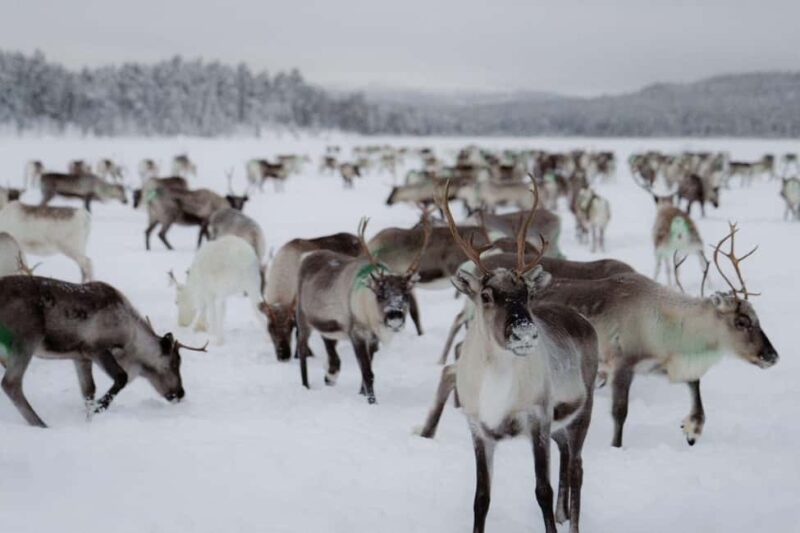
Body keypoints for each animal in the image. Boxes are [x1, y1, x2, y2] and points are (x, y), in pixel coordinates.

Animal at [0, 275, 205, 427]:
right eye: (174, 363)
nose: (180, 393)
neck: (132, 337)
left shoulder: (80, 356)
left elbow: (88, 390)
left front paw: (89, 417)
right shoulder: (96, 348)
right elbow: (121, 377)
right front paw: (99, 407)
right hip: (26, 339)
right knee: (11, 383)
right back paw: (41, 424)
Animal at [262, 232, 362, 361]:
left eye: (289, 327)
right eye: (270, 328)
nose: (283, 355)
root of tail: (357, 239)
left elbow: (299, 333)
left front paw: (301, 354)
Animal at [294, 217, 430, 404]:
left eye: (406, 295)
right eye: (380, 294)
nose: (394, 315)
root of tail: (307, 257)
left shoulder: (372, 338)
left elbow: (368, 370)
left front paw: (361, 394)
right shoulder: (356, 333)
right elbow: (367, 373)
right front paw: (372, 402)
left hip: (327, 326)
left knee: (329, 345)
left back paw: (329, 377)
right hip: (303, 319)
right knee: (301, 351)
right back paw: (305, 386)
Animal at [420, 179, 599, 533]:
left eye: (527, 293)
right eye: (486, 295)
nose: (525, 333)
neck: (497, 388)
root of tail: (583, 321)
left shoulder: (538, 419)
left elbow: (541, 490)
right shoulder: (478, 429)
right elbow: (481, 499)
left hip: (582, 411)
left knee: (577, 468)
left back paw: (570, 519)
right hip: (560, 425)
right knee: (565, 454)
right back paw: (563, 511)